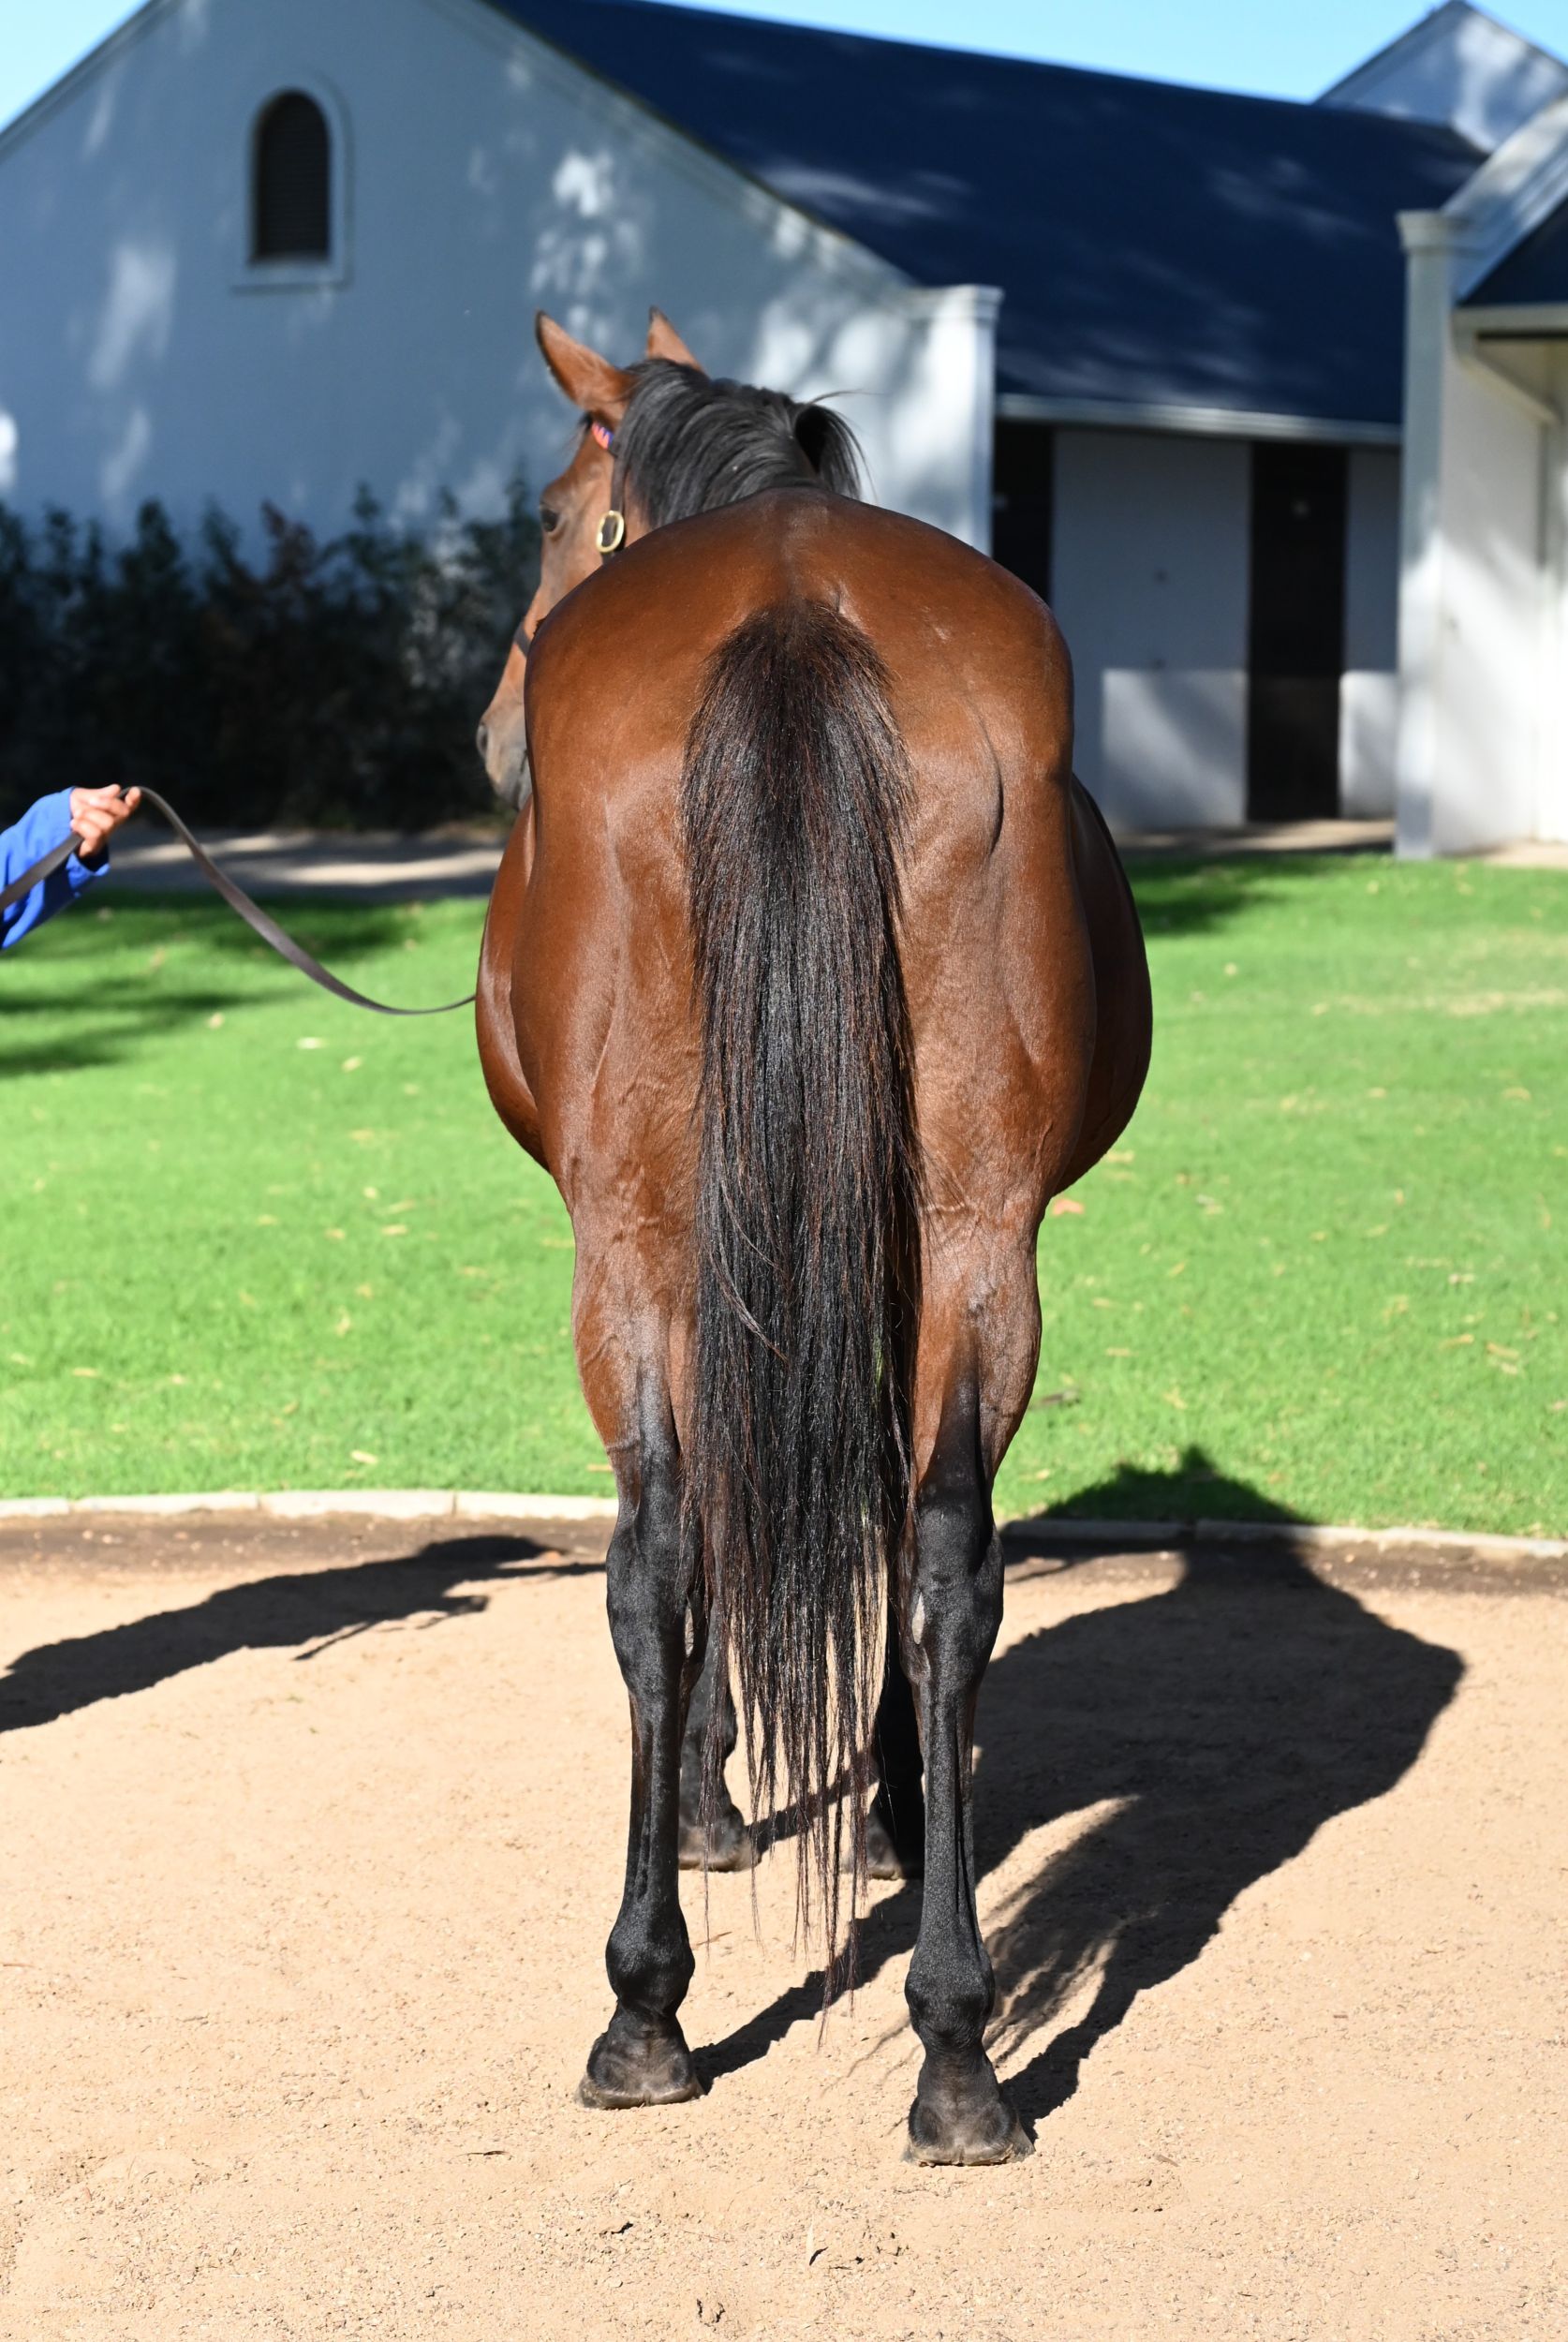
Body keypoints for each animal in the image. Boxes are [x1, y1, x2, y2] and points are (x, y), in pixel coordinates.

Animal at [475, 310, 1151, 2162]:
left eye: (556, 518)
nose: (489, 737)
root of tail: (790, 607)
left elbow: (718, 1518)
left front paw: (718, 1797)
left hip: (638, 1246)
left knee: (653, 1553)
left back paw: (644, 2007)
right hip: (977, 1238)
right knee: (943, 1557)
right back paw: (955, 2049)